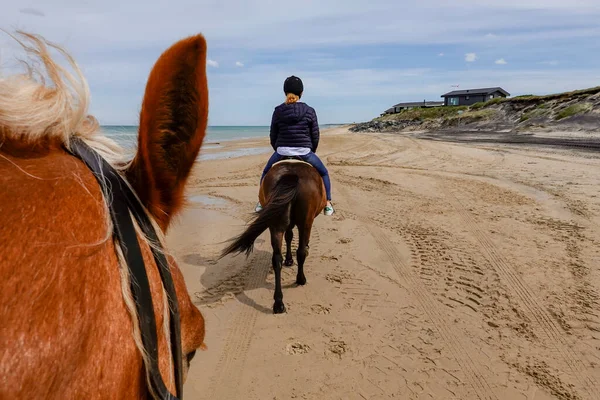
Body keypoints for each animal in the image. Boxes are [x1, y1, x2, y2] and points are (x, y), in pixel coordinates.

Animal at [220, 159, 326, 312]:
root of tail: (291, 174)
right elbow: (294, 240)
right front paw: (294, 258)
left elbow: (288, 236)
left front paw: (288, 260)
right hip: (305, 221)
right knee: (300, 252)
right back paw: (300, 280)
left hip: (275, 224)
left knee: (276, 259)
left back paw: (278, 303)